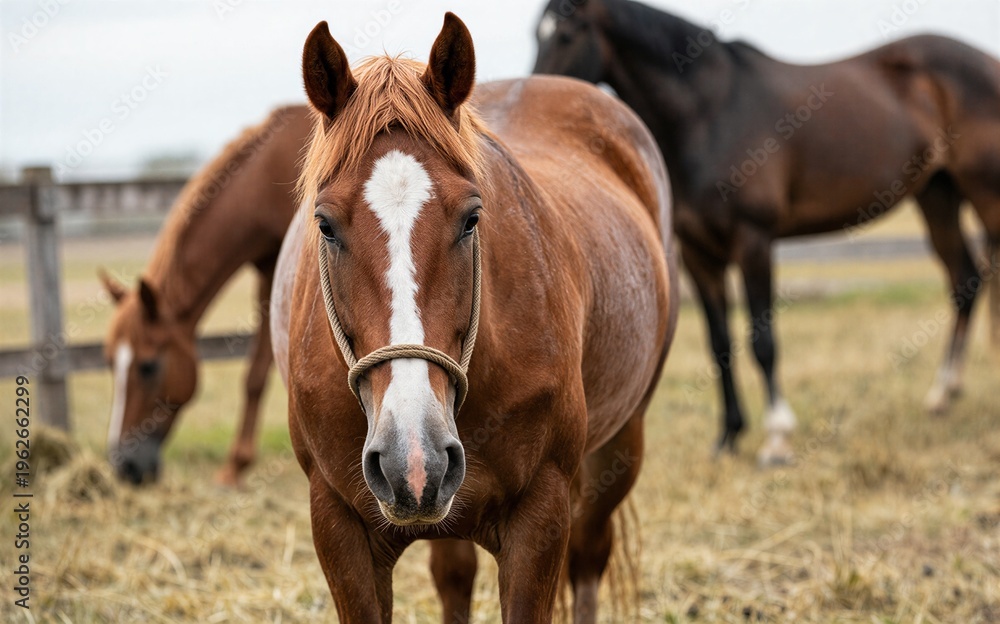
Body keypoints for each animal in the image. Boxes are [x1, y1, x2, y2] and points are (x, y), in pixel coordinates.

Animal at [100, 105, 313, 485]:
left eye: (148, 366)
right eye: (110, 362)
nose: (123, 466)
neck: (268, 182)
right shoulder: (269, 278)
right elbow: (255, 377)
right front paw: (235, 466)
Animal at [271, 12, 678, 622]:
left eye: (471, 218)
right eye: (325, 224)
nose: (411, 461)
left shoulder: (541, 512)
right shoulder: (338, 522)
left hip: (618, 448)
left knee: (589, 556)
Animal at [533, 0, 1000, 465]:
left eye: (567, 34)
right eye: (537, 34)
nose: (541, 96)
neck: (710, 112)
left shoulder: (753, 241)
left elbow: (762, 340)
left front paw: (777, 438)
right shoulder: (699, 253)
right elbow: (719, 343)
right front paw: (728, 437)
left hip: (983, 193)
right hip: (937, 194)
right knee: (964, 281)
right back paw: (942, 394)